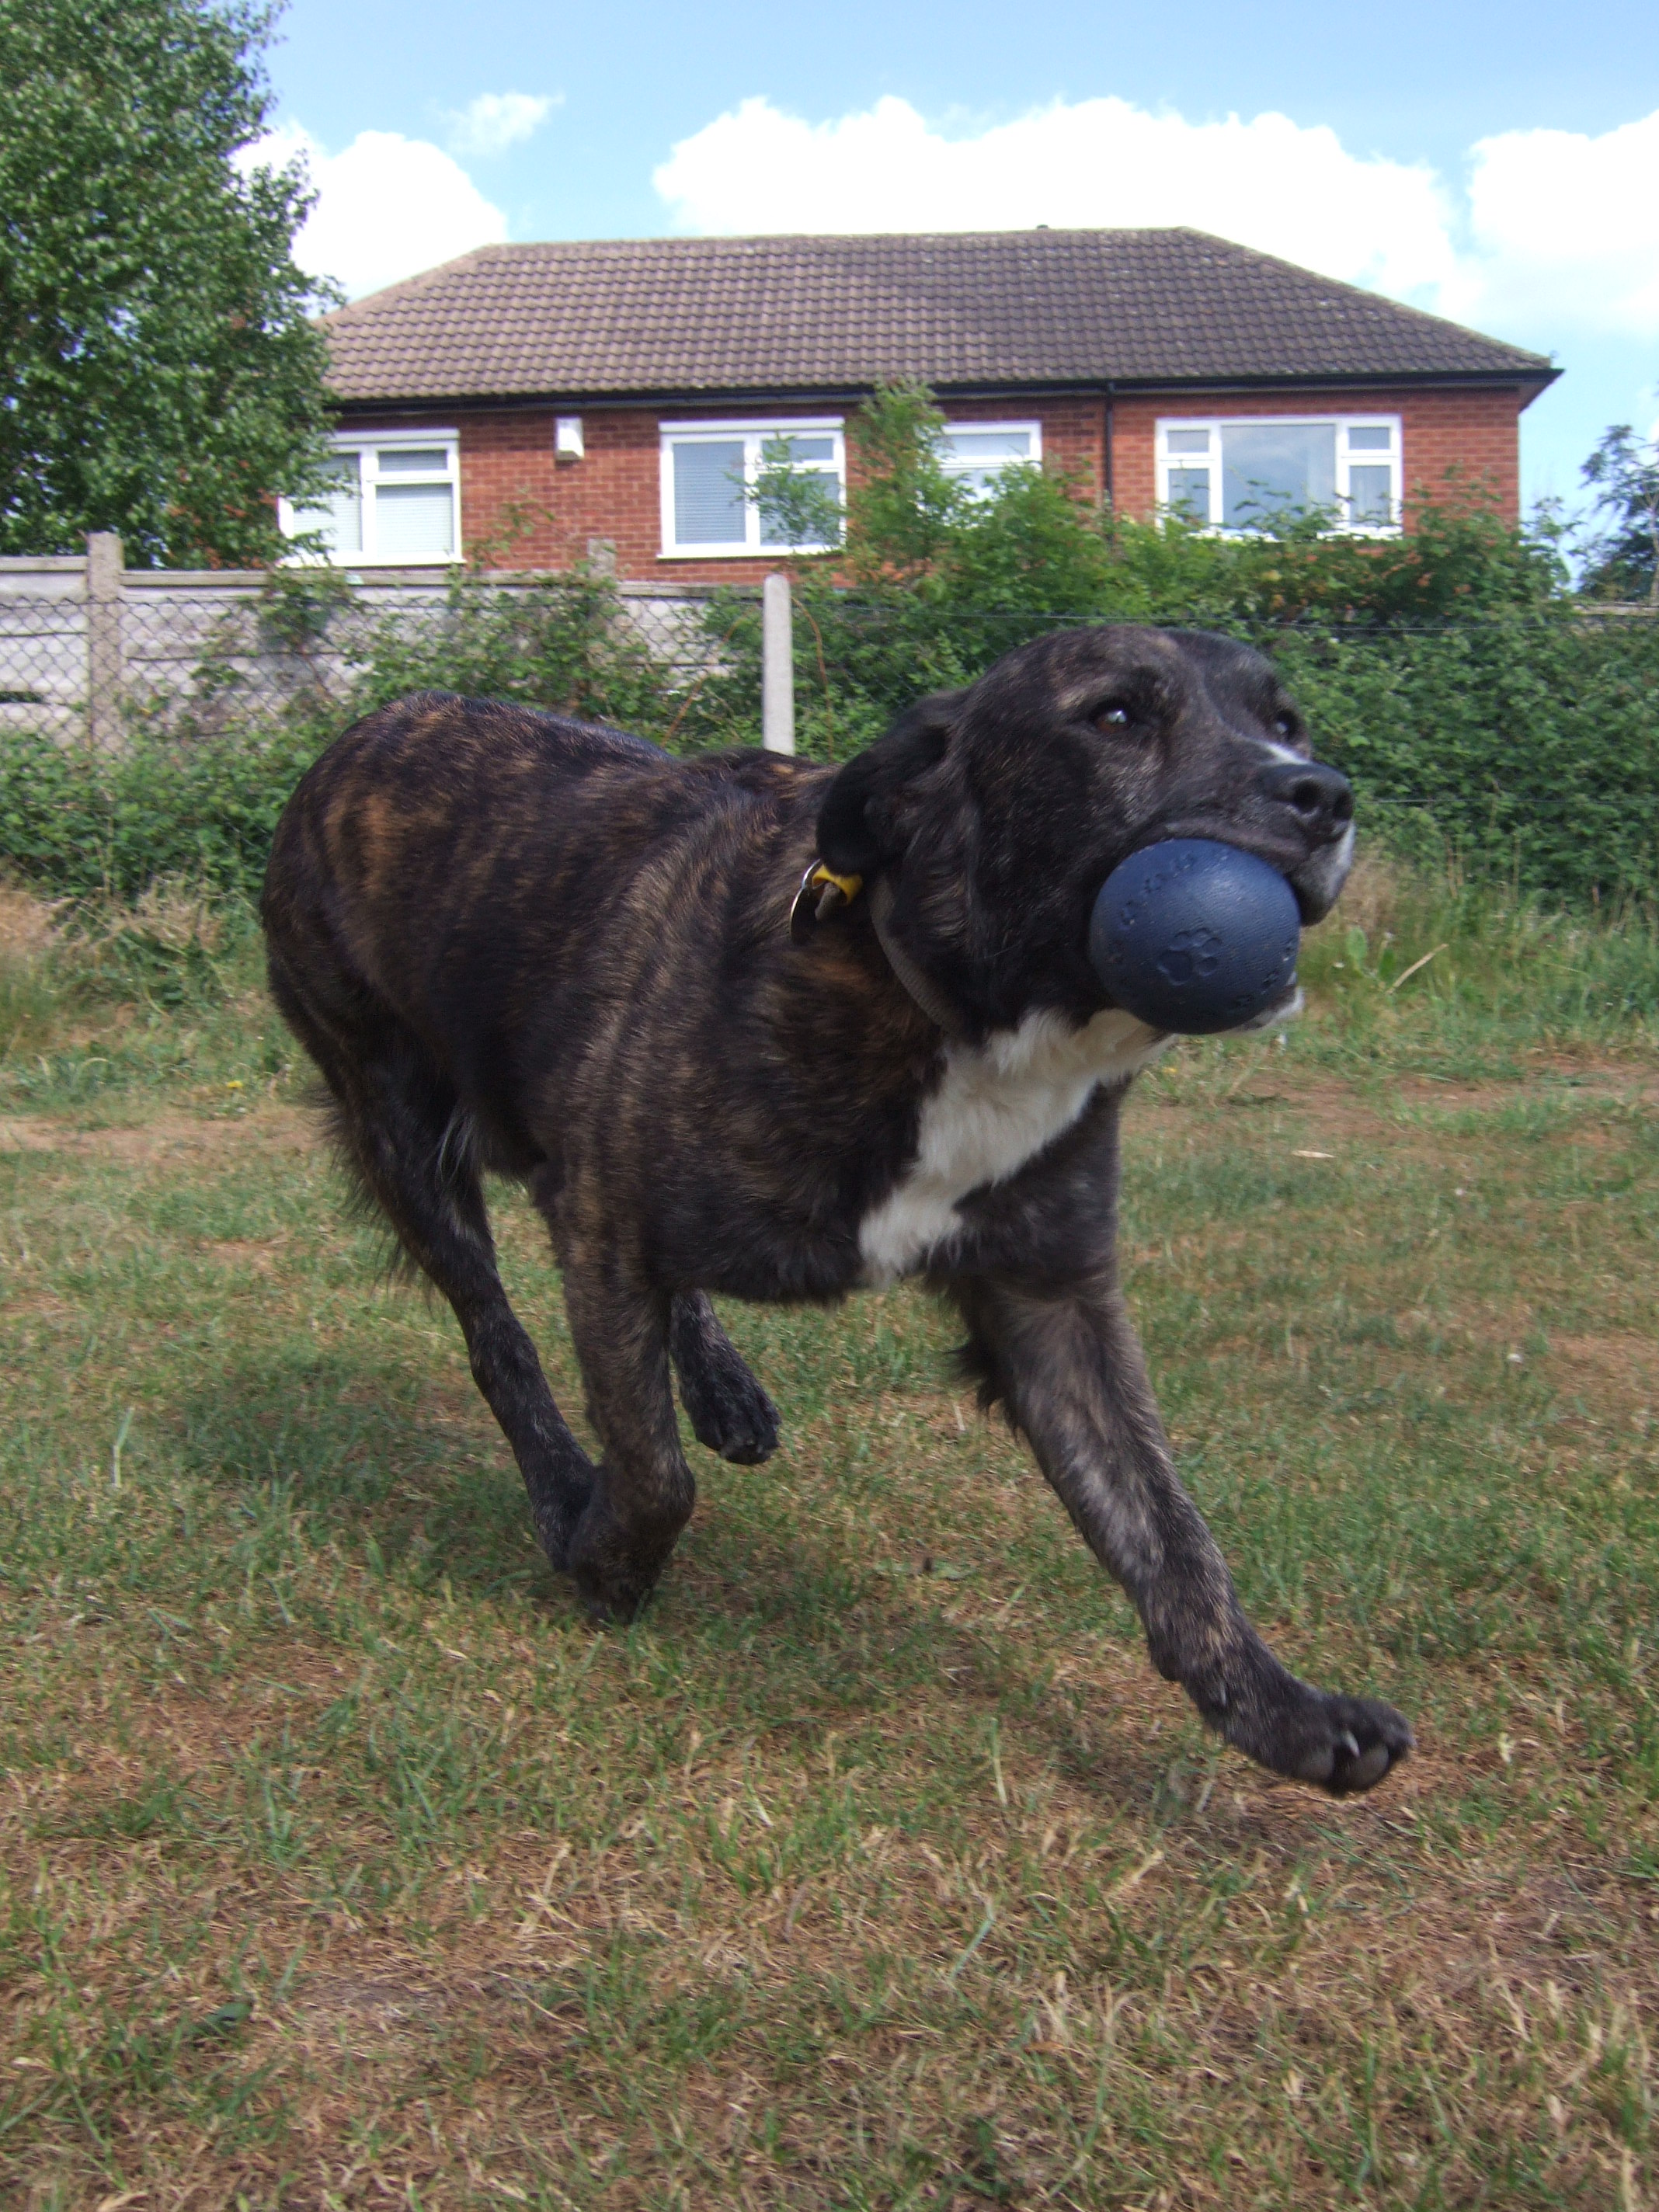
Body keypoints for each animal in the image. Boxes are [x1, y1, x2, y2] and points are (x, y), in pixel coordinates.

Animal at [262, 623, 1410, 1797]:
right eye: (1118, 717)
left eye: (1286, 722)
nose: (1323, 794)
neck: (952, 1013)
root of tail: (380, 720)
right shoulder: (604, 1226)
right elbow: (653, 1468)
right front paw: (602, 1556)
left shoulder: (1054, 1300)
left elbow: (1169, 1531)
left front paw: (1280, 1712)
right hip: (403, 1131)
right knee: (499, 1340)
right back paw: (560, 1481)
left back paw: (722, 1389)